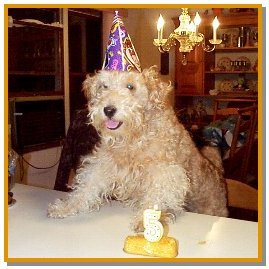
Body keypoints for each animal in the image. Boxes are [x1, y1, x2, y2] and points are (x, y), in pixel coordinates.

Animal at [47, 66, 227, 230]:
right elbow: (85, 187)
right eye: (104, 86)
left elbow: (155, 196)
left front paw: (146, 221)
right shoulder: (104, 163)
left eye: (130, 86)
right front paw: (65, 207)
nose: (109, 110)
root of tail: (217, 170)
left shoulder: (165, 172)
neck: (133, 138)